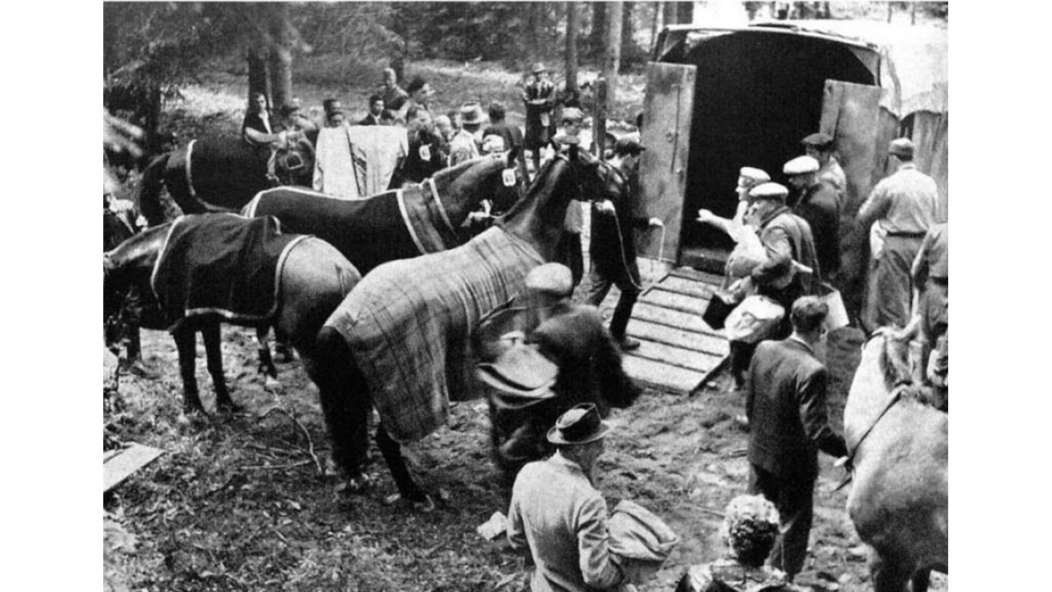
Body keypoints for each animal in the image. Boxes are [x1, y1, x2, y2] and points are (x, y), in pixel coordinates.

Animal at [103, 215, 357, 414]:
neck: (154, 255)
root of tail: (341, 269)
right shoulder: (208, 321)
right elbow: (214, 362)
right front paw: (225, 405)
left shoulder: (181, 323)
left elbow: (187, 366)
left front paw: (193, 412)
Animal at [307, 148, 626, 504]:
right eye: (594, 165)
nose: (623, 185)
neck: (524, 238)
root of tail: (345, 317)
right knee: (386, 440)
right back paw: (414, 494)